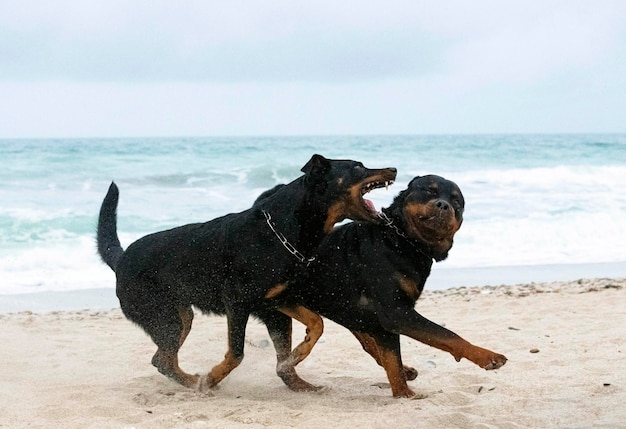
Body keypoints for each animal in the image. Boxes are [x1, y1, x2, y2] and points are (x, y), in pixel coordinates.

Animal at [96, 154, 394, 392]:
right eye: (358, 167)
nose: (393, 169)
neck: (281, 233)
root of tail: (121, 260)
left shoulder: (276, 304)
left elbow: (314, 326)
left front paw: (297, 372)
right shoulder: (237, 303)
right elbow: (236, 353)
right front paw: (213, 377)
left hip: (181, 315)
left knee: (162, 358)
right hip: (165, 318)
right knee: (163, 359)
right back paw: (197, 383)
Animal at [274, 176, 508, 396]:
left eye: (457, 202)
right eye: (429, 191)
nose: (443, 205)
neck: (404, 240)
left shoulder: (383, 317)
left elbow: (391, 357)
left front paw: (404, 393)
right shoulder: (395, 312)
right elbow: (447, 334)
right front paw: (487, 356)